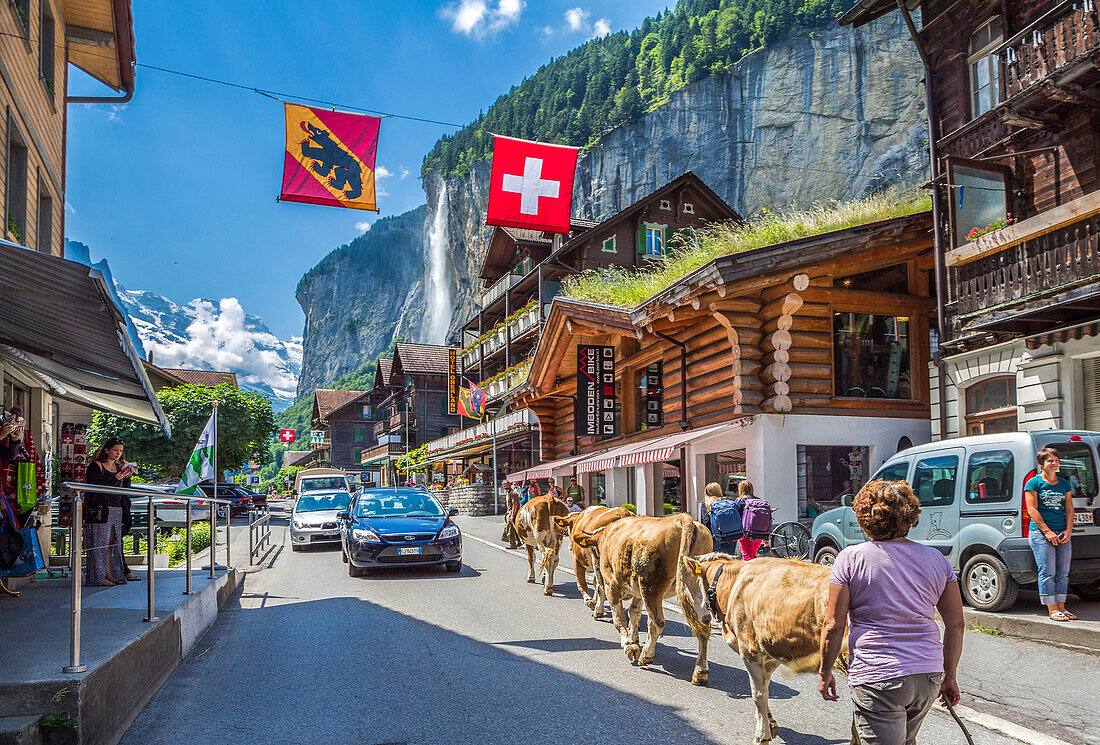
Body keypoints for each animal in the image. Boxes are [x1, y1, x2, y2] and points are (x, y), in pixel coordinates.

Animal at [572, 515, 717, 682]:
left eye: (595, 550)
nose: (595, 565)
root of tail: (680, 518)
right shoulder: (637, 592)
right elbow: (634, 613)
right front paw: (634, 638)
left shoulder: (611, 584)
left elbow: (619, 619)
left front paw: (629, 645)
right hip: (695, 587)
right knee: (704, 622)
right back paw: (700, 671)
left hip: (651, 587)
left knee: (656, 622)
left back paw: (646, 655)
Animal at [682, 552, 844, 743]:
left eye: (698, 582)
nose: (701, 611)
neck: (734, 584)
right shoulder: (772, 652)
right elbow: (765, 687)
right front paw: (770, 723)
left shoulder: (749, 650)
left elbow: (758, 693)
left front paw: (761, 736)